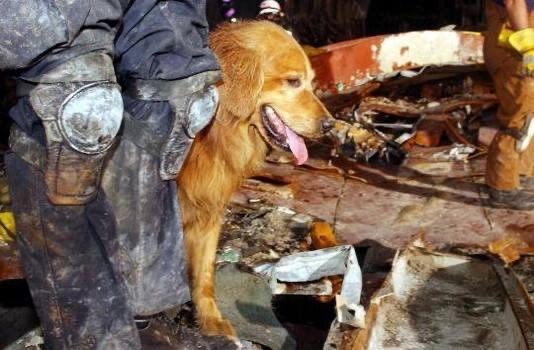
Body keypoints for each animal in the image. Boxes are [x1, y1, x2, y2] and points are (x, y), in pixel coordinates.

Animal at [178, 20, 336, 340]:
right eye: (293, 81)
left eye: (310, 81)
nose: (330, 126)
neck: (210, 135)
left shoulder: (208, 209)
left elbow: (204, 274)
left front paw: (210, 321)